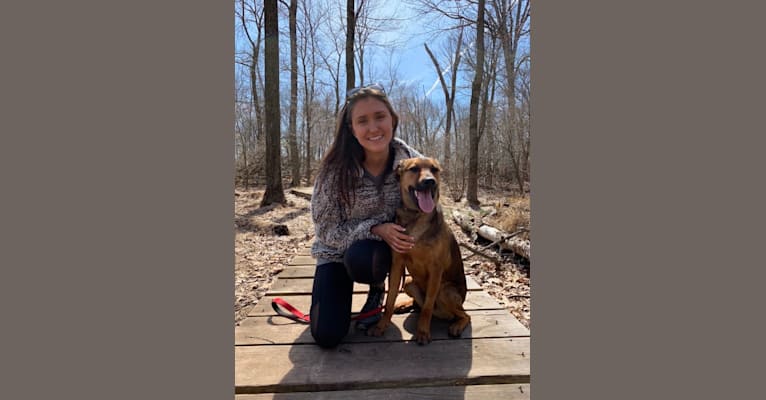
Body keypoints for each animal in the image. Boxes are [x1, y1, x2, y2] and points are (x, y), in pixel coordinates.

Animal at [368, 156, 472, 344]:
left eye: (435, 169)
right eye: (414, 169)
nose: (430, 181)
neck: (416, 216)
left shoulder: (436, 270)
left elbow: (428, 306)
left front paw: (423, 331)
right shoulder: (397, 265)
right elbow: (390, 298)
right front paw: (381, 326)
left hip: (445, 291)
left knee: (463, 315)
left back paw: (456, 326)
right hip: (409, 282)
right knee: (419, 304)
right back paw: (405, 305)